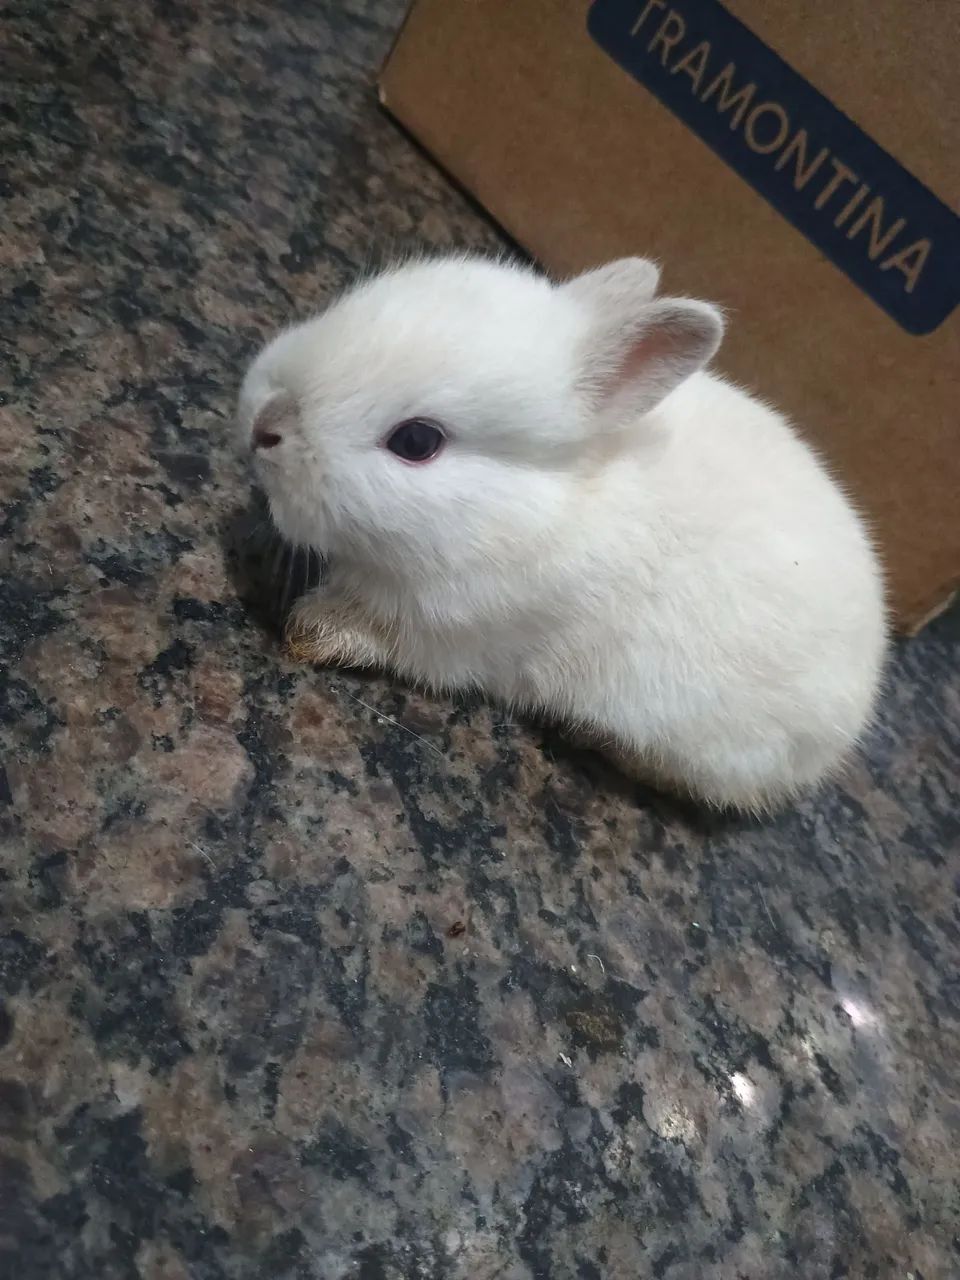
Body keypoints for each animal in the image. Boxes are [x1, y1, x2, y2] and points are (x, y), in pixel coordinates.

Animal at [236, 254, 887, 811]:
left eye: (417, 441)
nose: (264, 424)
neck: (528, 508)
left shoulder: (452, 632)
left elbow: (381, 635)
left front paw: (313, 631)